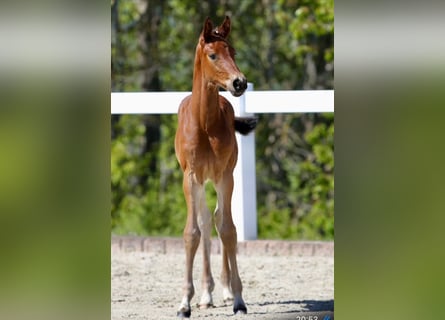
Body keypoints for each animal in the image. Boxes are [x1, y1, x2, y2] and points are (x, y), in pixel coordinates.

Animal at [174, 15, 256, 318]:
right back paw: (206, 294)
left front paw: (238, 299)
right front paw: (185, 303)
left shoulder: (224, 176)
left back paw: (223, 290)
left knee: (219, 220)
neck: (205, 124)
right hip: (200, 182)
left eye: (233, 52)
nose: (239, 82)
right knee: (206, 221)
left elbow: (229, 230)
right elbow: (192, 233)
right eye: (213, 55)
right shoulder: (191, 178)